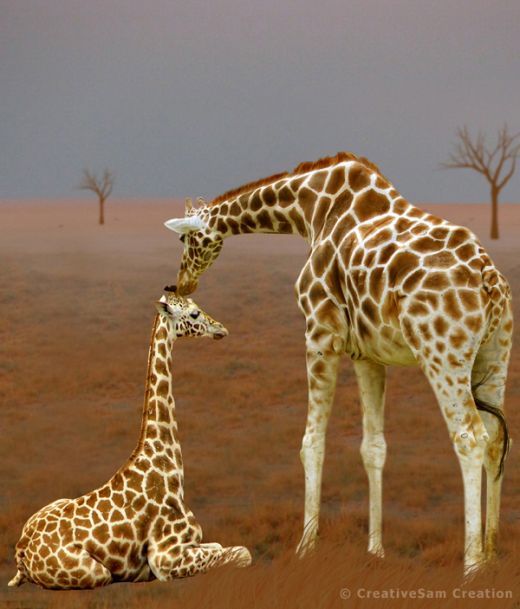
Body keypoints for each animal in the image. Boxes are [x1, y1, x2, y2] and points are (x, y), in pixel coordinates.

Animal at [8, 287, 251, 590]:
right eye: (194, 314)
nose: (221, 328)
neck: (169, 470)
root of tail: (21, 552)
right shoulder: (165, 559)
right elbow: (243, 553)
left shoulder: (194, 544)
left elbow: (221, 548)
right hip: (96, 573)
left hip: (55, 501)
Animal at [164, 152, 512, 575]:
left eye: (184, 238)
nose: (181, 284)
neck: (310, 209)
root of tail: (489, 280)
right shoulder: (367, 353)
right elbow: (373, 447)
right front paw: (375, 551)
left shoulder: (319, 332)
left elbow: (311, 443)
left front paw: (305, 547)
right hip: (496, 353)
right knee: (496, 436)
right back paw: (492, 551)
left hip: (442, 353)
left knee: (469, 436)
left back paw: (473, 566)